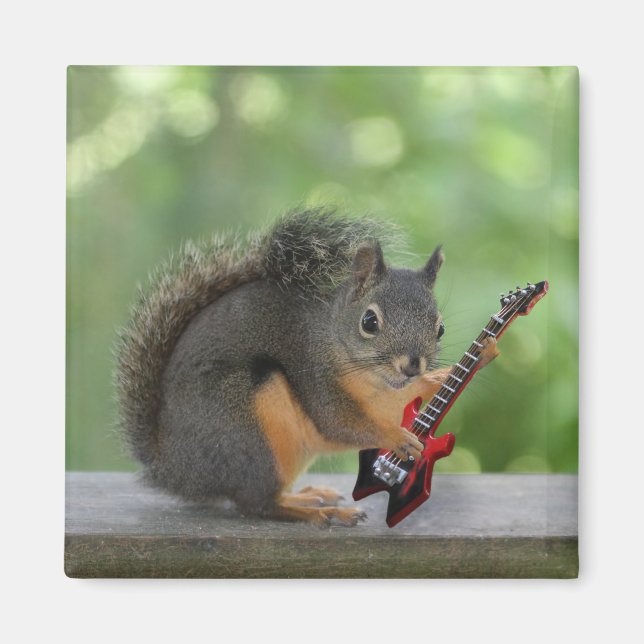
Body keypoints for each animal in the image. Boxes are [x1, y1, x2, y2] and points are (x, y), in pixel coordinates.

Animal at [115, 208, 499, 525]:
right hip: (243, 427)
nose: (411, 366)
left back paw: (309, 496)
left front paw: (471, 359)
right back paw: (320, 513)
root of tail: (173, 469)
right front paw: (396, 437)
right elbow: (340, 423)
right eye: (369, 322)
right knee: (256, 505)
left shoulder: (392, 396)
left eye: (440, 328)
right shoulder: (312, 370)